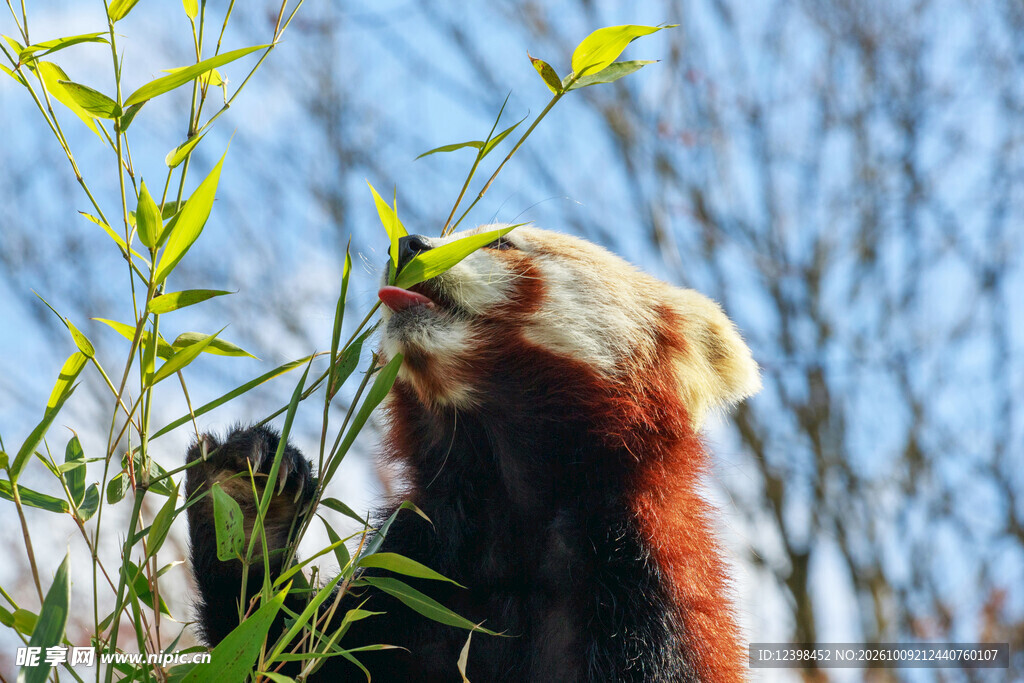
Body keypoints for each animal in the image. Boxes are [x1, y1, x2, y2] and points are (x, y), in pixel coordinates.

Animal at [185, 225, 760, 681]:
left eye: (500, 241)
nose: (408, 243)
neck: (512, 508)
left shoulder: (650, 592)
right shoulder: (416, 572)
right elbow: (276, 653)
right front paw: (245, 506)